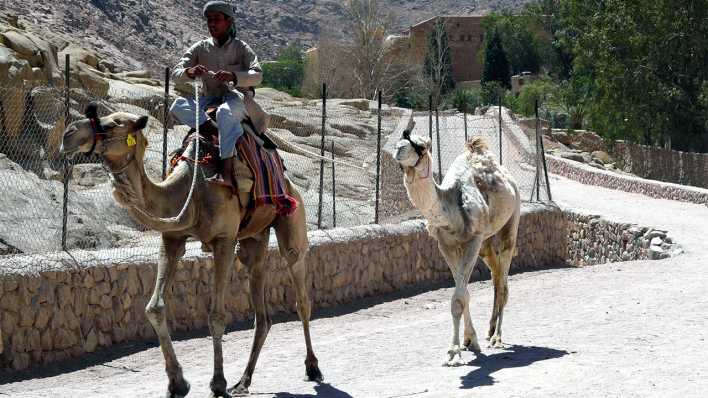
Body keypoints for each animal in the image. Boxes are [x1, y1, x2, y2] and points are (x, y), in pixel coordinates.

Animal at [59, 107, 322, 396]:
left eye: (114, 124)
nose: (68, 134)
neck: (190, 188)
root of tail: (287, 180)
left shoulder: (224, 239)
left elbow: (216, 315)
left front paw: (217, 383)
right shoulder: (172, 238)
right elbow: (154, 308)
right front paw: (177, 383)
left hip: (291, 218)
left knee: (300, 292)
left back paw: (312, 368)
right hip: (254, 238)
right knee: (261, 309)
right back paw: (243, 381)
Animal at [392, 128, 520, 366]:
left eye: (421, 146)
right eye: (400, 141)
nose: (399, 149)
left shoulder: (473, 239)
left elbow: (459, 297)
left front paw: (453, 352)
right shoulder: (446, 244)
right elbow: (465, 292)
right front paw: (470, 341)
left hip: (510, 223)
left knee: (504, 283)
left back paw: (497, 338)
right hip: (486, 243)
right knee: (496, 276)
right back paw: (489, 332)